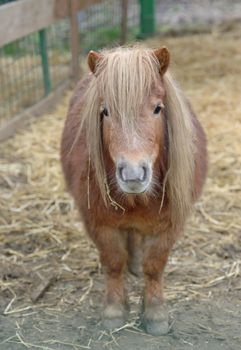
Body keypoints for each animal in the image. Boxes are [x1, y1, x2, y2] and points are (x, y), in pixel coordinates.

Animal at [60, 45, 207, 334]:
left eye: (158, 109)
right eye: (105, 111)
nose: (133, 174)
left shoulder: (169, 226)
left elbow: (154, 266)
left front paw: (156, 314)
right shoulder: (100, 223)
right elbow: (114, 262)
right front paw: (114, 310)